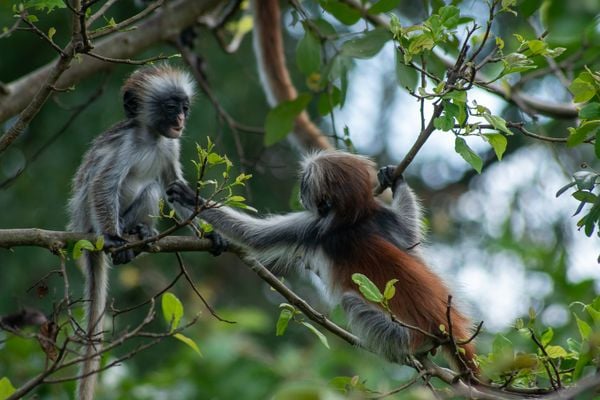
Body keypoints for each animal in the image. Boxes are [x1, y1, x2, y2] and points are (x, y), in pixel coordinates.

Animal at [68, 64, 196, 398]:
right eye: (171, 106)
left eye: (185, 107)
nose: (180, 121)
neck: (151, 138)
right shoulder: (124, 144)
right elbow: (102, 183)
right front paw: (114, 238)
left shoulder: (170, 144)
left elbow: (174, 187)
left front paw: (209, 233)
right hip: (89, 217)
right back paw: (119, 238)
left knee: (152, 188)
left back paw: (142, 232)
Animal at [168, 150, 478, 372]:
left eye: (306, 183)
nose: (299, 186)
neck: (349, 221)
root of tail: (441, 320)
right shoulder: (382, 219)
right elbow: (412, 237)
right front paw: (396, 180)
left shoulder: (312, 227)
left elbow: (252, 236)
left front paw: (191, 200)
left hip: (403, 333)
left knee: (351, 301)